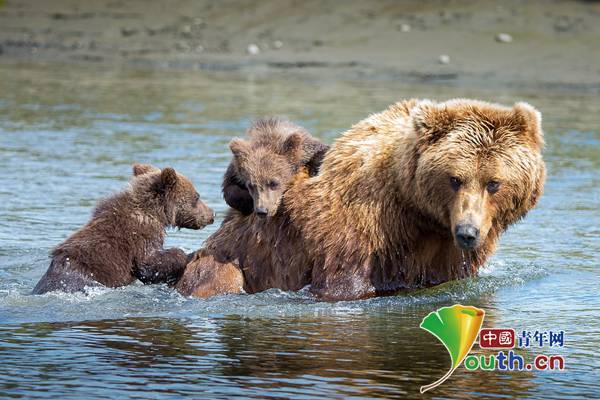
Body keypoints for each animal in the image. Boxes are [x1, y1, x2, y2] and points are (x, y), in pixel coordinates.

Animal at [177, 99, 544, 300]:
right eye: (455, 179)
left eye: (494, 183)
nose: (467, 232)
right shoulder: (358, 227)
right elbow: (344, 283)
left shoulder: (447, 254)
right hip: (234, 259)